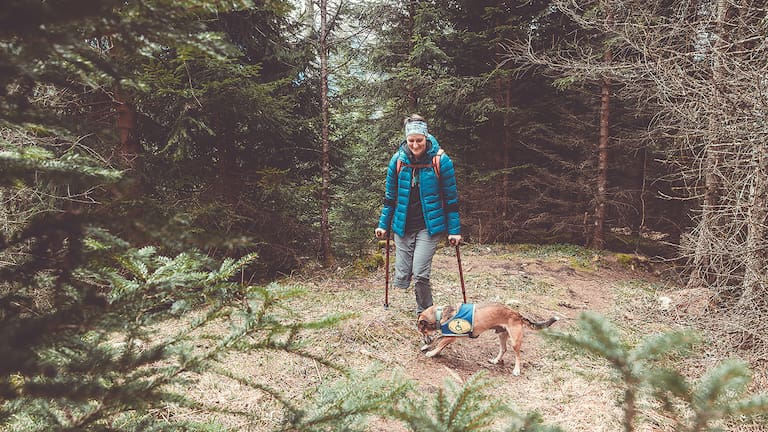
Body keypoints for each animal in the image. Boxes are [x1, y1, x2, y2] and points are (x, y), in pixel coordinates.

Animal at [416, 302, 556, 376]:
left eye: (423, 331)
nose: (424, 341)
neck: (439, 315)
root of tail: (517, 314)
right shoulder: (447, 334)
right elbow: (437, 339)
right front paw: (427, 347)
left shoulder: (451, 337)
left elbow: (439, 344)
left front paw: (431, 353)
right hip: (501, 334)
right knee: (503, 349)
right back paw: (495, 361)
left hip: (515, 340)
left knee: (517, 355)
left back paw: (516, 370)